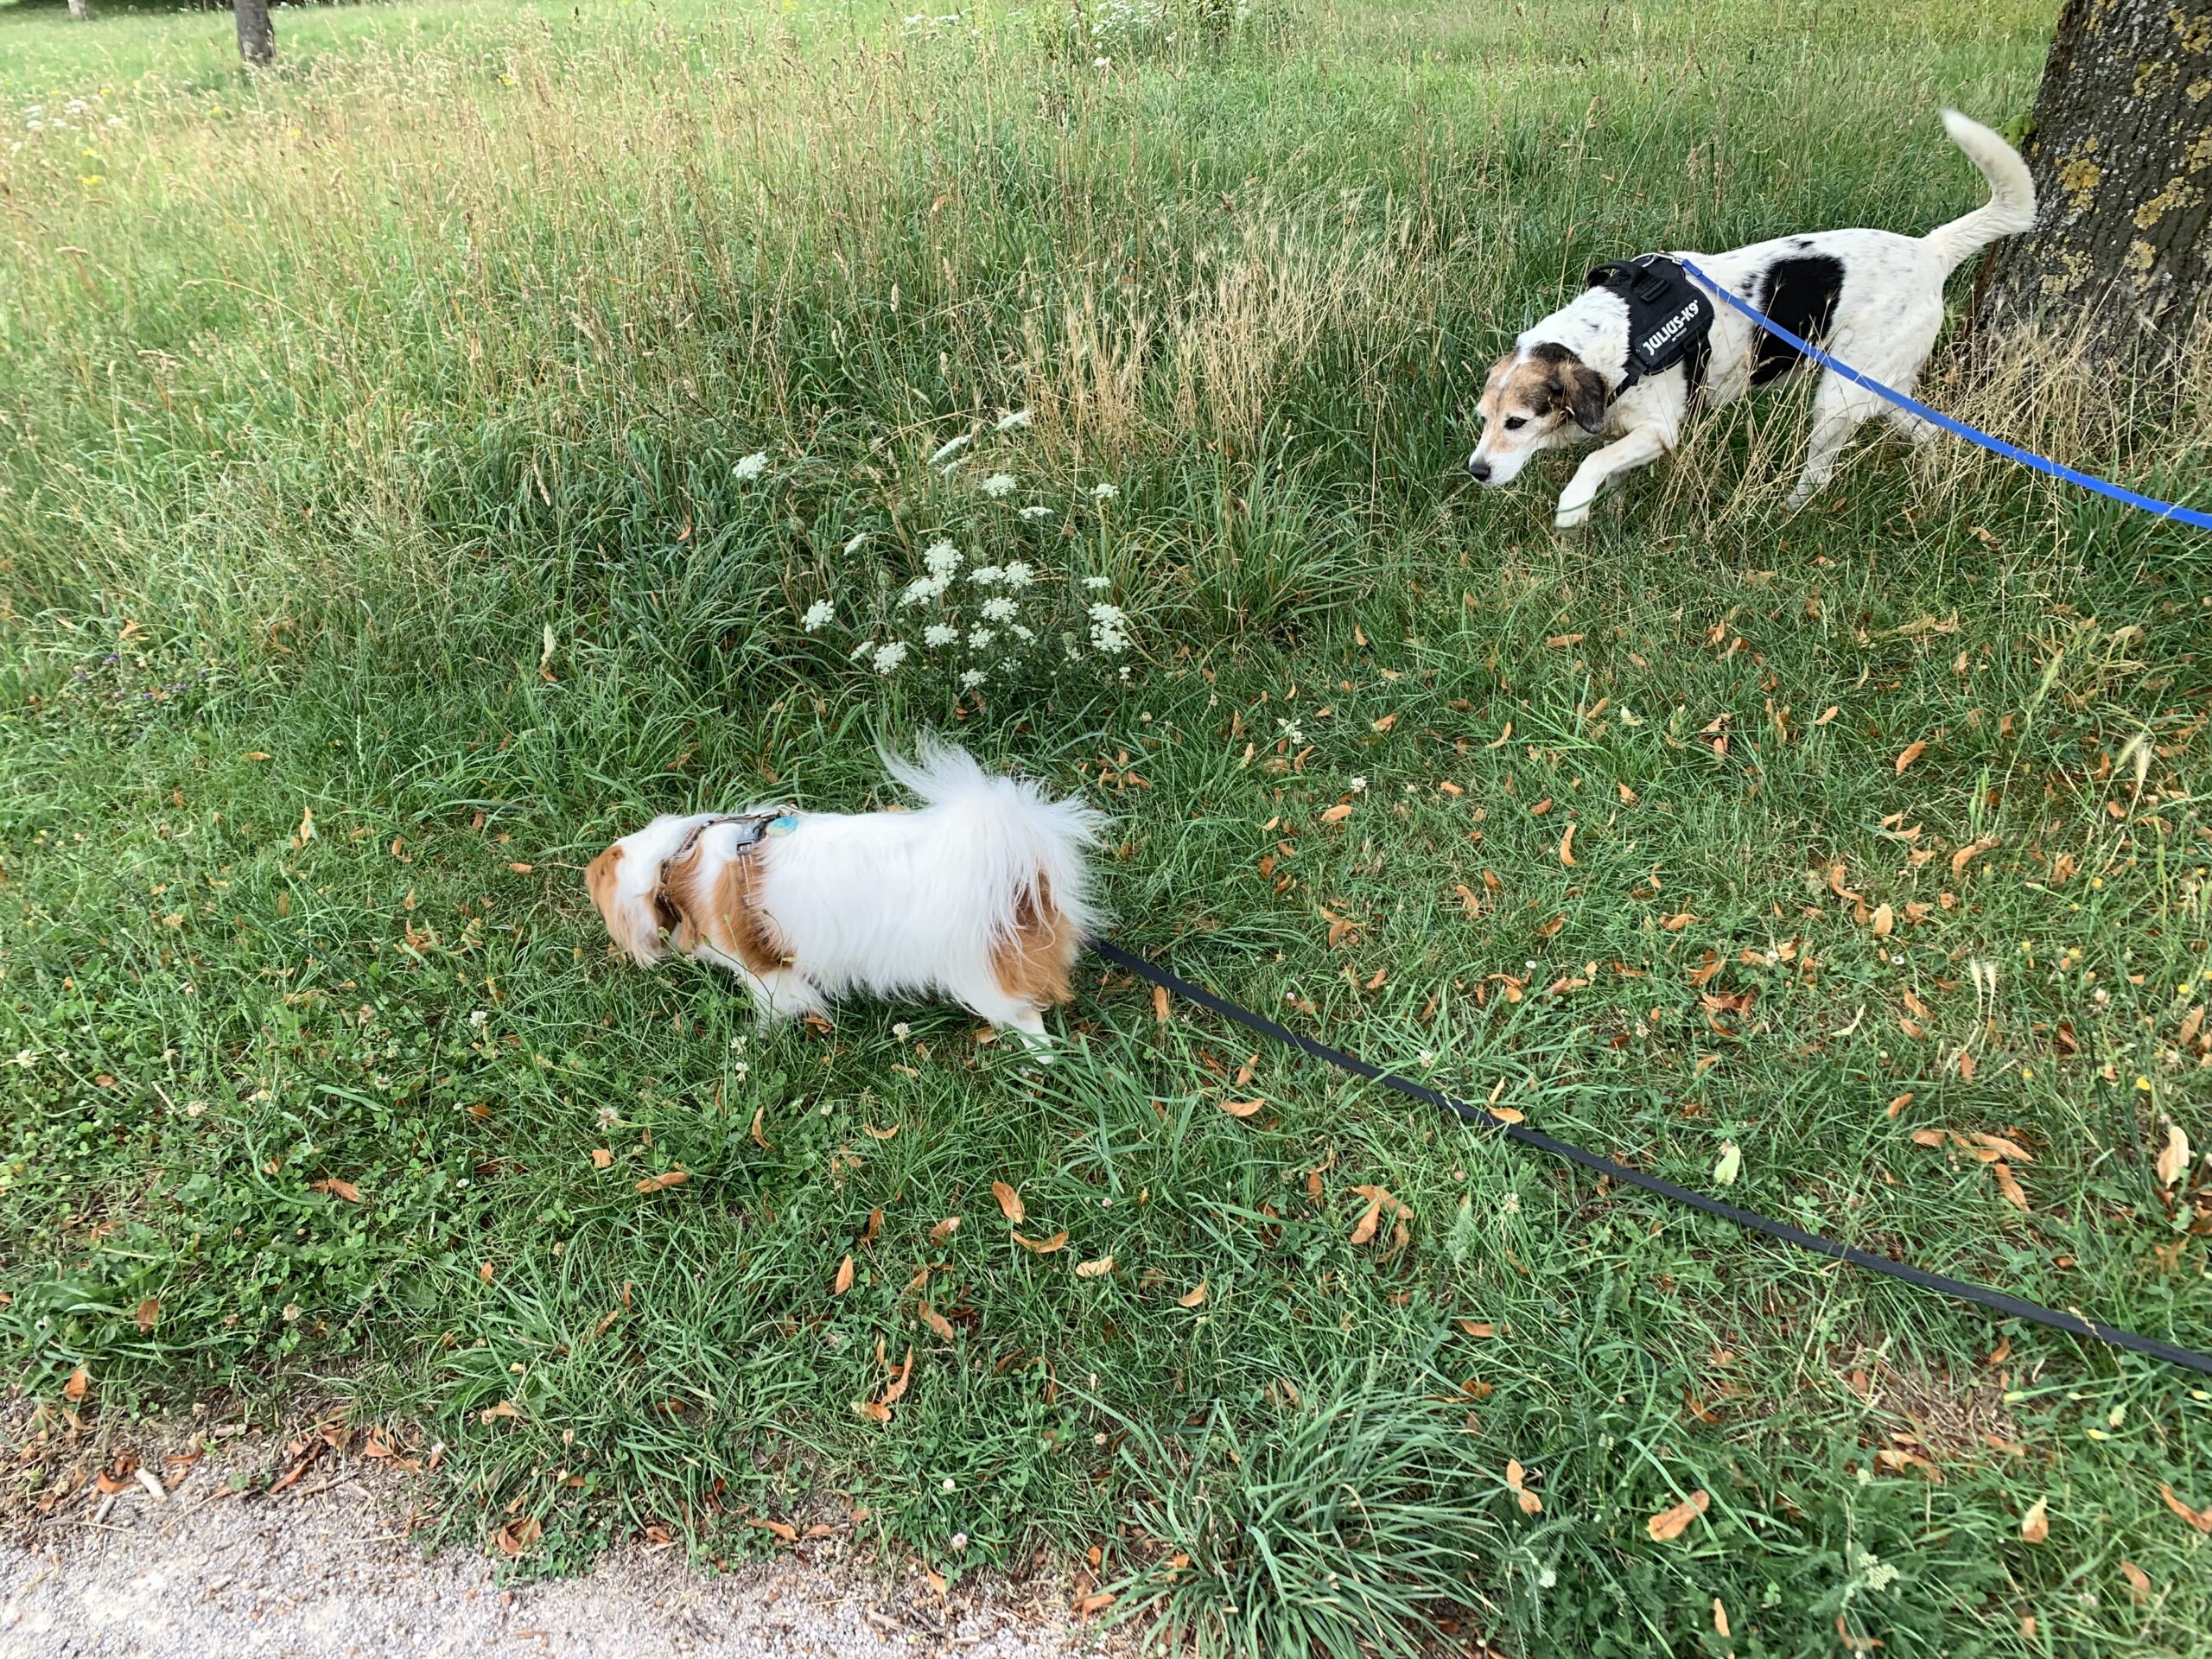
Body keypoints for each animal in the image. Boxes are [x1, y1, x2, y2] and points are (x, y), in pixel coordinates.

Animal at [585, 743, 1103, 1050]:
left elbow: (772, 1007)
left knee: (1027, 1016)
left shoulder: (763, 971)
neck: (679, 857)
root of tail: (1021, 876)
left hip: (982, 975)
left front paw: (755, 1038)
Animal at [1467, 110, 2034, 527]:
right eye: (1483, 418)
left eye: (1516, 422)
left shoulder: (1660, 431)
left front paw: (1572, 507)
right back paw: (1932, 476)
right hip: (1879, 387)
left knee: (1820, 473)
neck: (1618, 336)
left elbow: (1593, 461)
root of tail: (1931, 251)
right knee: (1928, 433)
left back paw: (1787, 509)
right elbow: (1611, 469)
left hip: (1837, 400)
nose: (1476, 471)